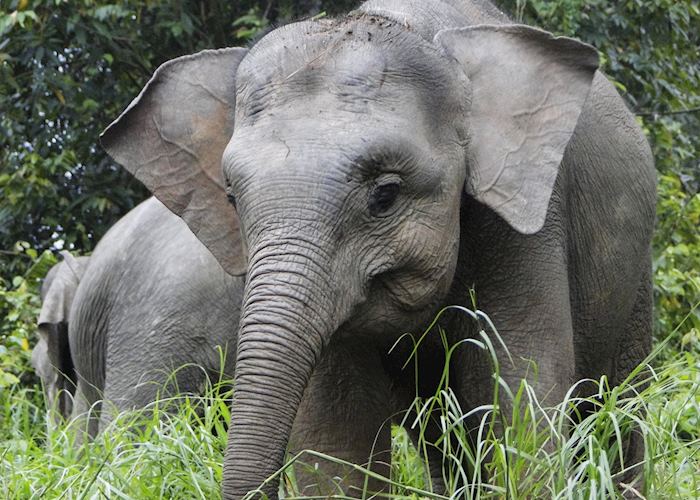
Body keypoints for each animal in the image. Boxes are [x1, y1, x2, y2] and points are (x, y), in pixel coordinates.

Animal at [100, 0, 656, 496]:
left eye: (384, 195)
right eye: (233, 199)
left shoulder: (528, 226)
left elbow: (517, 398)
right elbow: (336, 440)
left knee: (619, 410)